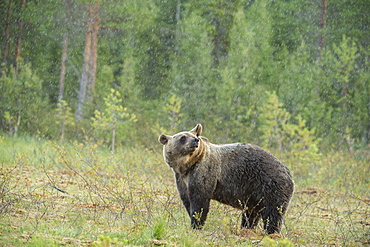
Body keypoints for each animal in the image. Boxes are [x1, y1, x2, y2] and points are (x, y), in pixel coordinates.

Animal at [159, 123, 294, 233]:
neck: (187, 165)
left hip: (270, 185)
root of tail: (289, 173)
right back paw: (246, 228)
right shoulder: (182, 179)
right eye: (182, 137)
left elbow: (200, 200)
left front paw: (196, 224)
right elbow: (187, 199)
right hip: (254, 194)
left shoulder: (204, 171)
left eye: (193, 135)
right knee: (251, 213)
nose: (195, 140)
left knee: (273, 213)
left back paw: (271, 232)